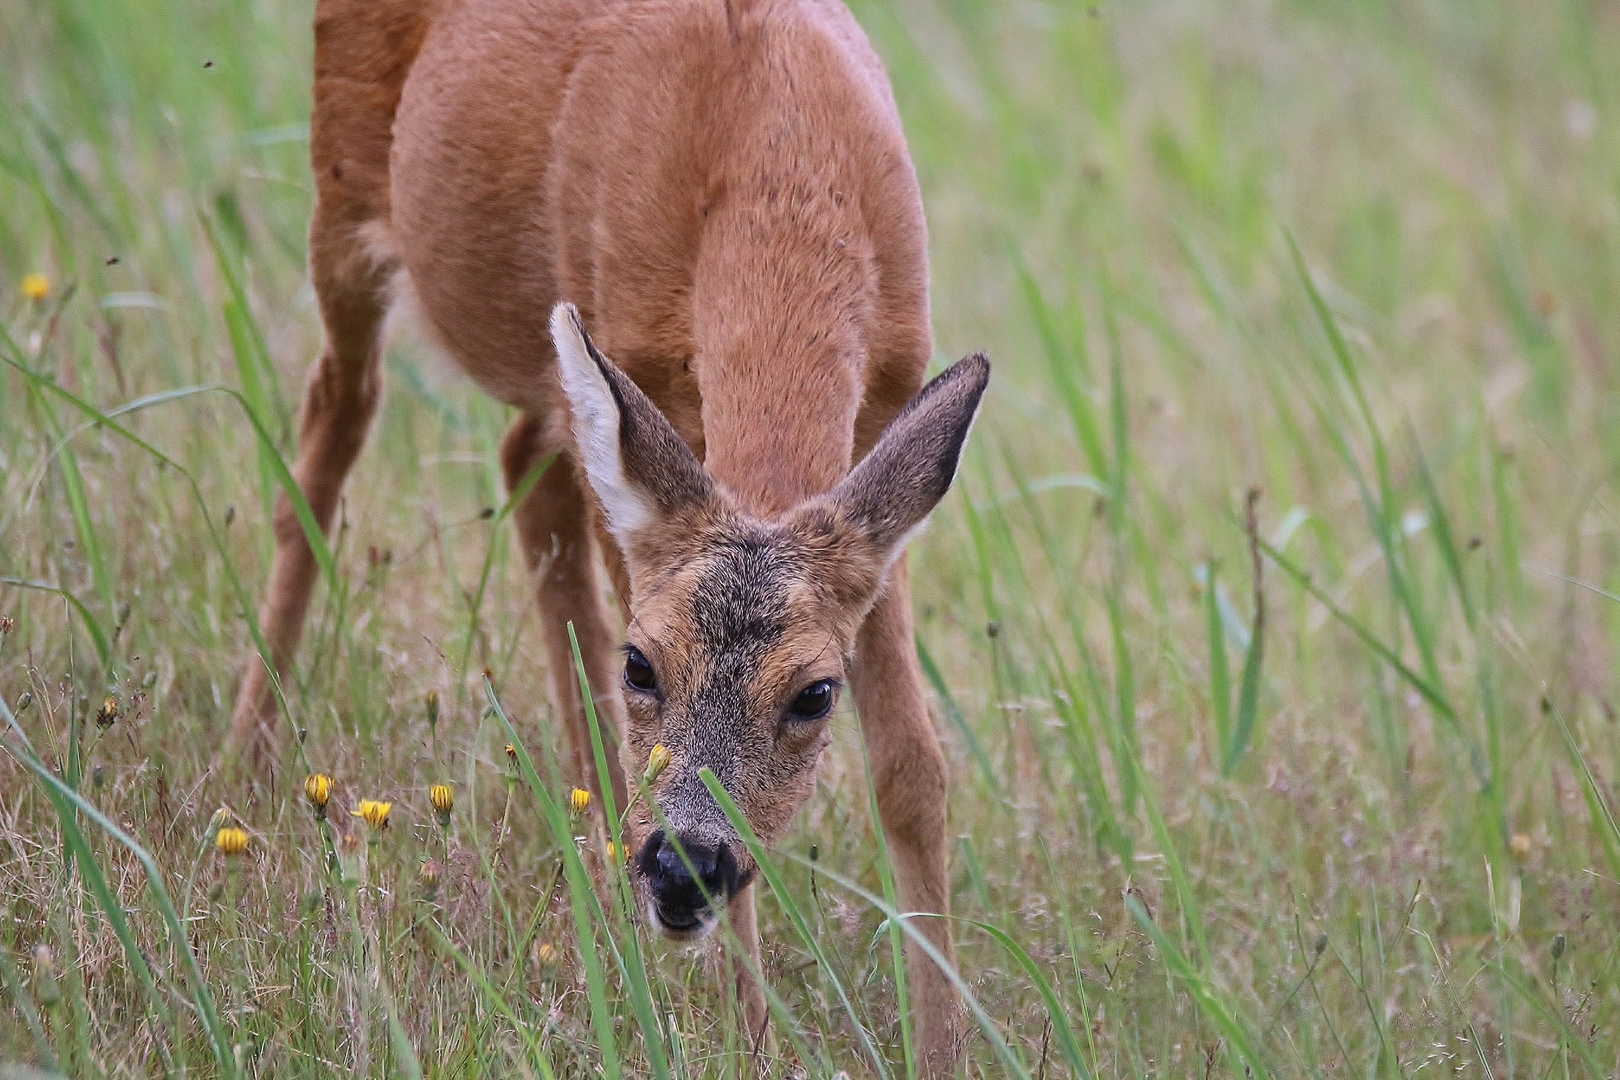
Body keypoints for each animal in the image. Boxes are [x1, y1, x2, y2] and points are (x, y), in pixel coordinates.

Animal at [228, 0, 984, 1062]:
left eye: (814, 694)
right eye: (643, 665)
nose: (682, 872)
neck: (777, 155)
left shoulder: (888, 418)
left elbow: (913, 769)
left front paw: (944, 1044)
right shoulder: (631, 345)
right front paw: (749, 1042)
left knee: (520, 460)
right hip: (345, 200)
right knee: (333, 426)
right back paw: (243, 767)